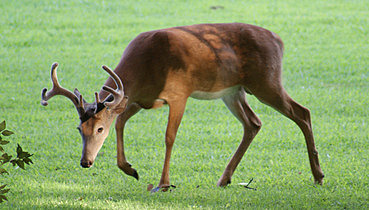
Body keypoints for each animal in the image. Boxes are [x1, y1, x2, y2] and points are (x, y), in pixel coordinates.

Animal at [40, 22, 324, 190]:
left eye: (99, 129)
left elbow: (169, 137)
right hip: (233, 91)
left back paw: (318, 175)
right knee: (253, 123)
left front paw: (163, 184)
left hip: (266, 80)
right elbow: (120, 122)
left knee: (303, 112)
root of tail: (279, 41)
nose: (85, 162)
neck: (145, 68)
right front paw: (130, 170)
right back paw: (225, 178)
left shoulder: (178, 94)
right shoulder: (139, 99)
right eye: (80, 129)